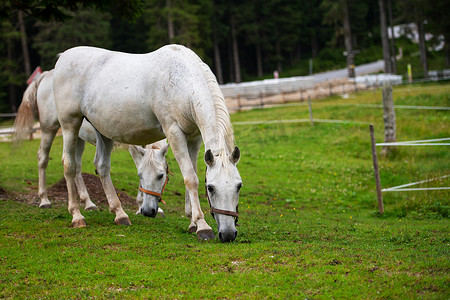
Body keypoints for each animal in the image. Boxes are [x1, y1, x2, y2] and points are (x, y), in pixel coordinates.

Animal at [15, 70, 169, 216]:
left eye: (161, 175)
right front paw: (139, 204)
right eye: (141, 175)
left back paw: (88, 203)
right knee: (43, 157)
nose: (148, 211)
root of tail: (47, 75)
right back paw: (44, 200)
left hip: (78, 138)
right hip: (49, 128)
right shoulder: (133, 146)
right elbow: (138, 164)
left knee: (76, 167)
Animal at [55, 44, 244, 241]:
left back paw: (120, 214)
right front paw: (202, 226)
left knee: (102, 167)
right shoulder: (174, 132)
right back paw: (77, 216)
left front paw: (192, 222)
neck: (182, 82)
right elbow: (191, 179)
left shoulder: (194, 137)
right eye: (211, 188)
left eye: (238, 186)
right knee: (69, 165)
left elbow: (191, 173)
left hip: (103, 132)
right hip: (70, 125)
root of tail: (63, 57)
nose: (228, 234)